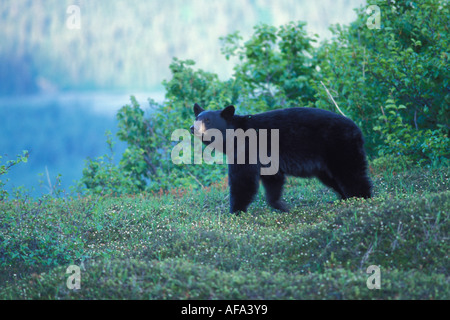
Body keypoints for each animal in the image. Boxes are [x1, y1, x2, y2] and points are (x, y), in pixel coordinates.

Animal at [190, 104, 372, 214]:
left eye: (207, 120)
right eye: (197, 117)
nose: (193, 127)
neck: (233, 137)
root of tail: (357, 128)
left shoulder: (248, 149)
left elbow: (243, 180)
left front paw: (236, 211)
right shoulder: (266, 159)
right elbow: (272, 180)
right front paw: (281, 205)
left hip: (339, 146)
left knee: (351, 173)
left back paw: (361, 198)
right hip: (325, 163)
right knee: (333, 178)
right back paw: (344, 199)